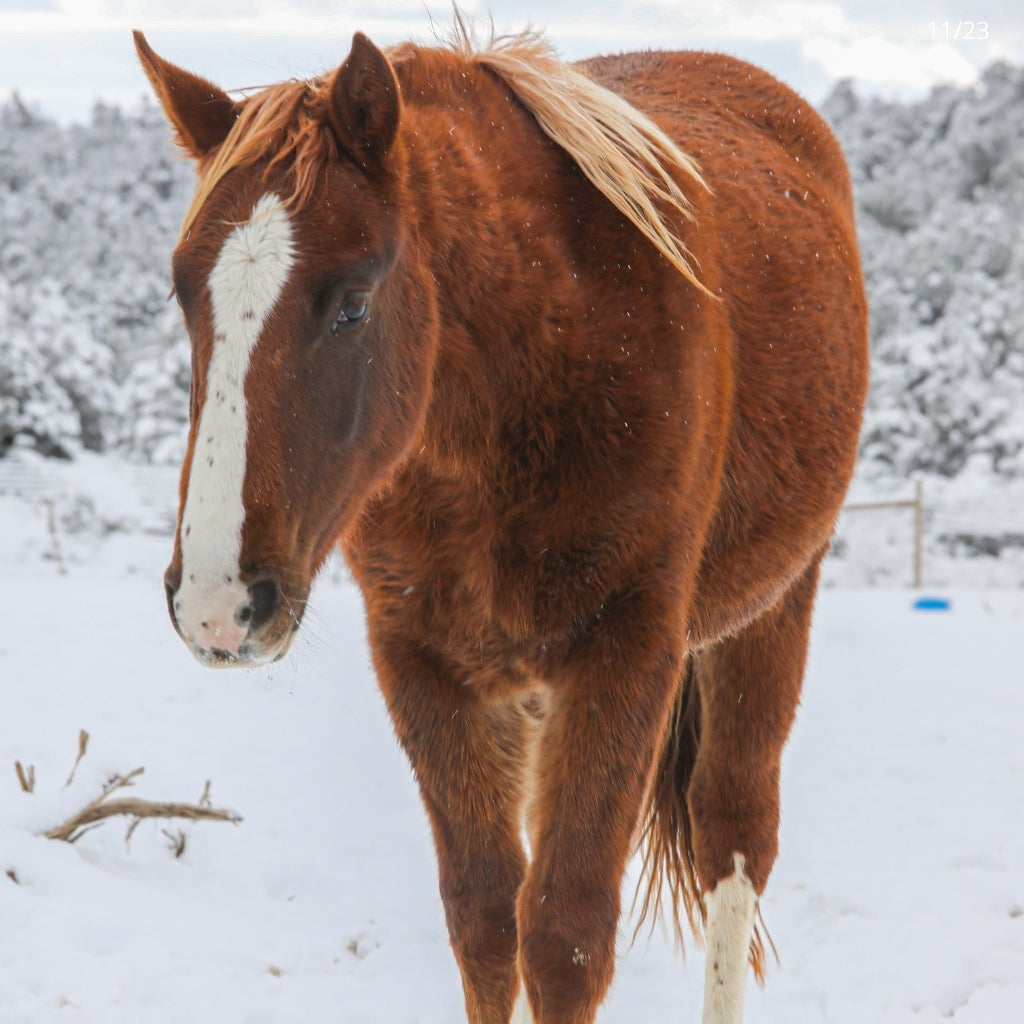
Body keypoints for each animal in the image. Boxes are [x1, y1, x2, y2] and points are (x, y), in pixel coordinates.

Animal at [138, 24, 864, 1024]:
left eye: (353, 302)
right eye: (183, 294)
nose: (216, 604)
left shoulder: (626, 655)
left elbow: (563, 935)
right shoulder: (425, 666)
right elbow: (484, 922)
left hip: (769, 615)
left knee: (733, 841)